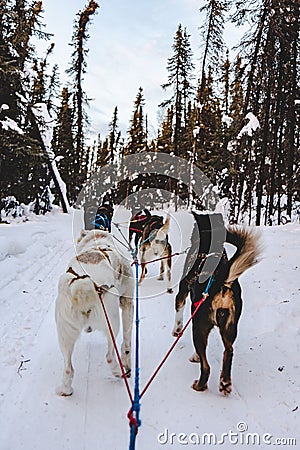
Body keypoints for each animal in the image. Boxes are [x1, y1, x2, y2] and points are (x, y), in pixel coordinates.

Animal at [54, 230, 134, 396]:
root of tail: (79, 286)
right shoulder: (128, 303)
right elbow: (127, 343)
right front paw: (127, 362)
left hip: (64, 336)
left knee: (68, 369)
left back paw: (65, 389)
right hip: (112, 322)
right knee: (110, 356)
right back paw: (119, 371)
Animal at [172, 213, 262, 396]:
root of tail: (221, 283)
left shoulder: (182, 291)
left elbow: (178, 310)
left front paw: (176, 331)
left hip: (198, 326)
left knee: (206, 367)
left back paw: (200, 385)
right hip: (229, 327)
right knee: (229, 351)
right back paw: (225, 382)